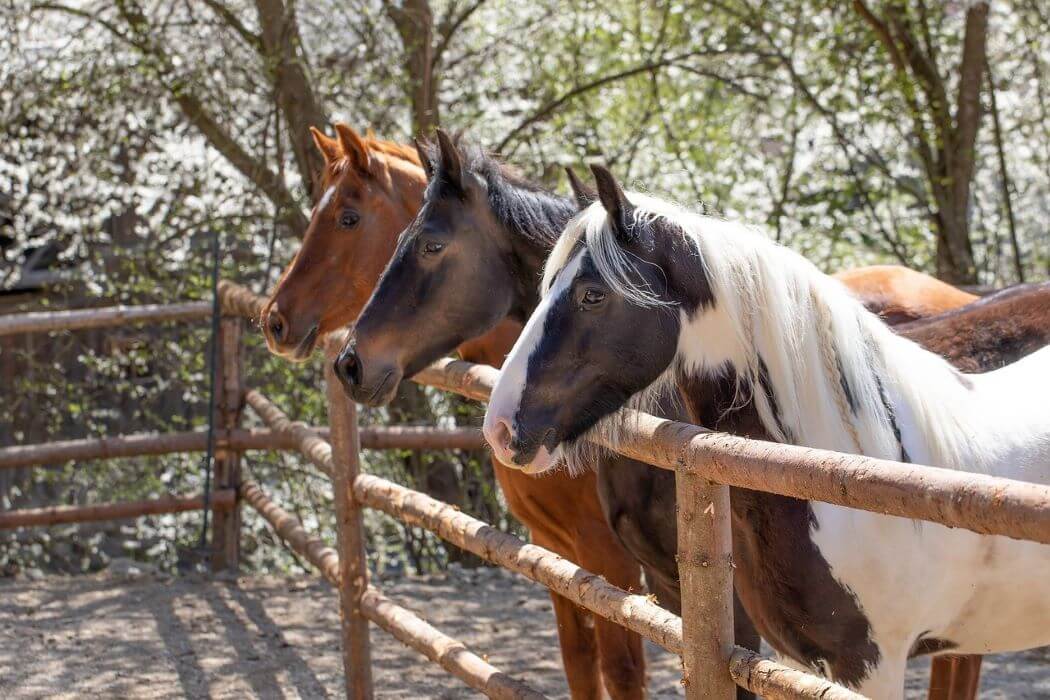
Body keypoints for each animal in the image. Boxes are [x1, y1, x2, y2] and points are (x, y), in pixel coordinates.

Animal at [264, 125, 646, 700]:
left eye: (347, 218)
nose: (275, 320)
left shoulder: (612, 563)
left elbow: (623, 672)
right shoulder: (556, 550)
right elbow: (580, 663)